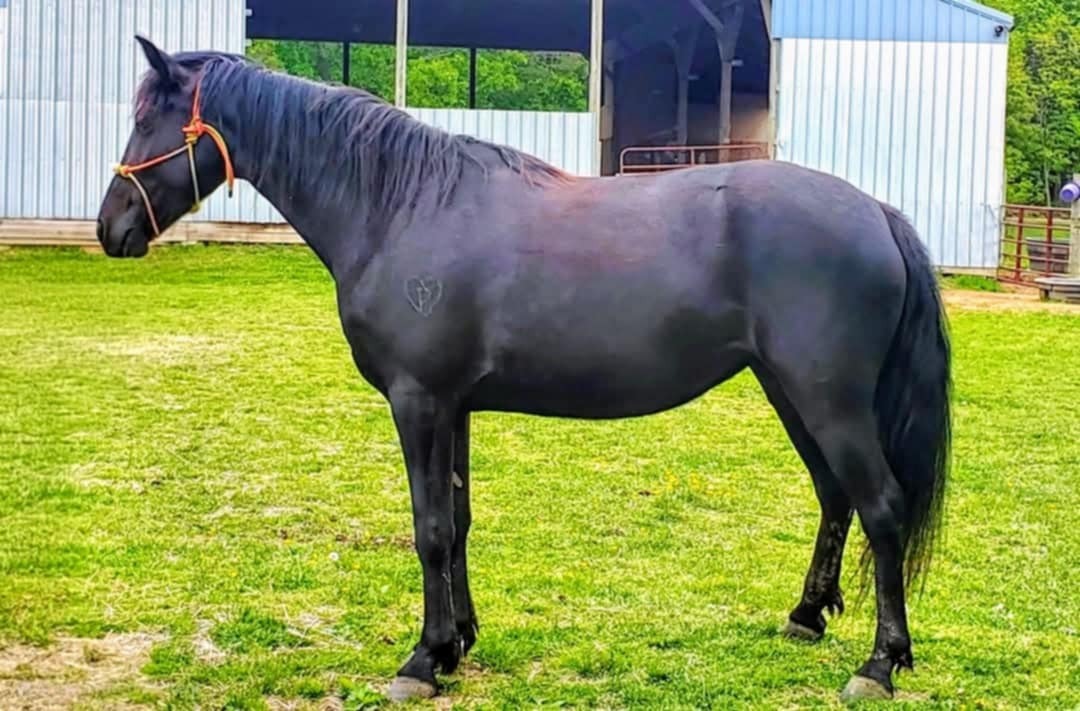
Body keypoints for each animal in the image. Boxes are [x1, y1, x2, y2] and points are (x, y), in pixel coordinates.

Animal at [96, 36, 952, 704]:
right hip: (790, 391)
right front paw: (458, 641)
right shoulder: (454, 406)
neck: (400, 206)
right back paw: (806, 616)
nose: (111, 228)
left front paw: (421, 659)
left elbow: (429, 527)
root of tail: (878, 211)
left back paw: (879, 663)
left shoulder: (418, 402)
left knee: (880, 505)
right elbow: (459, 520)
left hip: (827, 398)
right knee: (835, 495)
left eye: (147, 119)